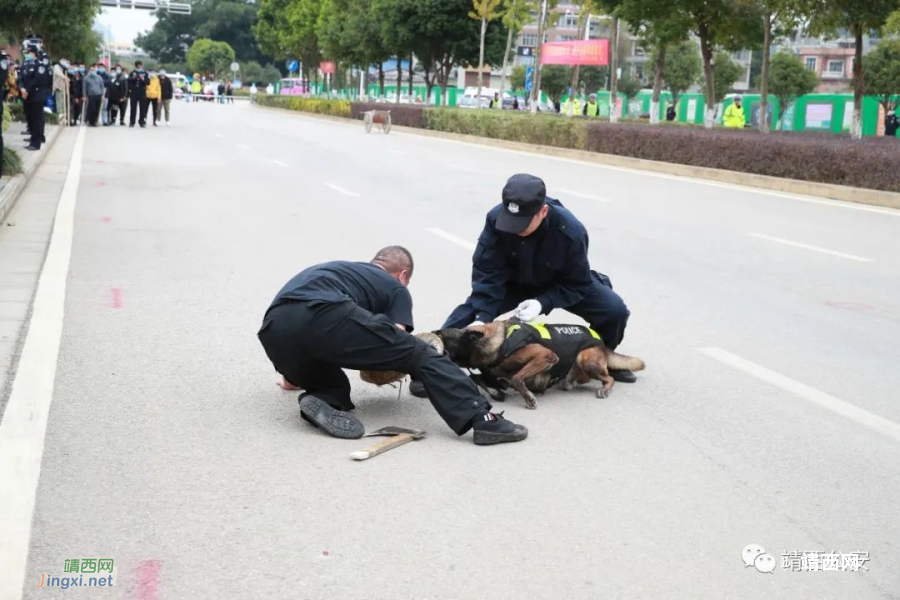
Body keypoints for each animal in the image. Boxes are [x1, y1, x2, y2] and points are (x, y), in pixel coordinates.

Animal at [432, 322, 644, 410]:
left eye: (441, 334)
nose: (431, 335)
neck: (498, 342)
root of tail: (602, 344)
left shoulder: (545, 356)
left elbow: (517, 378)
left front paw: (528, 397)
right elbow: (479, 378)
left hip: (585, 359)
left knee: (609, 378)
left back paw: (605, 388)